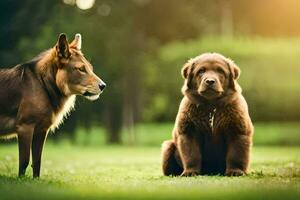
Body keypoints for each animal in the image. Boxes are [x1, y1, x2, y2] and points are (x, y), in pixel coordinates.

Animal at [0, 33, 106, 178]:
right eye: (81, 69)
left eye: (90, 68)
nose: (103, 86)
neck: (43, 85)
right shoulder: (24, 127)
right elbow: (24, 162)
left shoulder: (41, 130)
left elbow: (37, 162)